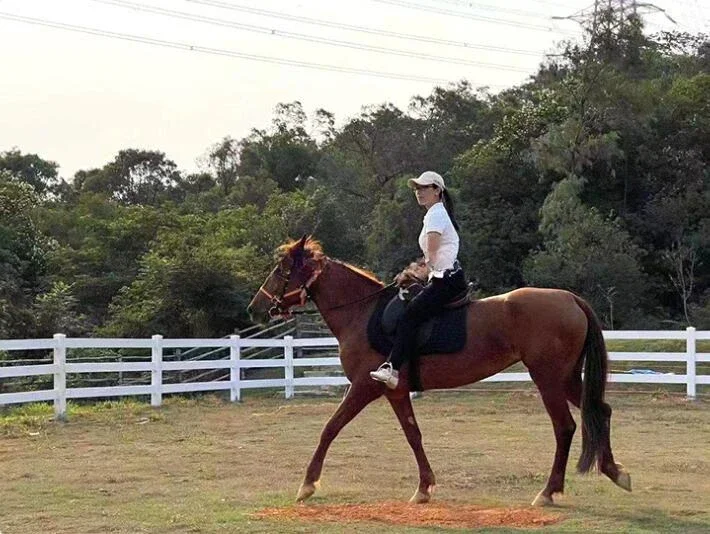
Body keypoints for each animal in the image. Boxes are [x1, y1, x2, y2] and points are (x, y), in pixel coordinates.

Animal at [246, 236, 632, 506]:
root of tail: (570, 298)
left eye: (281, 271)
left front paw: (307, 484)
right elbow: (413, 434)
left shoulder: (364, 387)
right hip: (566, 377)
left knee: (565, 427)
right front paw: (424, 487)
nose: (255, 307)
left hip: (548, 378)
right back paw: (615, 472)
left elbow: (330, 428)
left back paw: (549, 491)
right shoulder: (396, 391)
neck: (362, 314)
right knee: (601, 410)